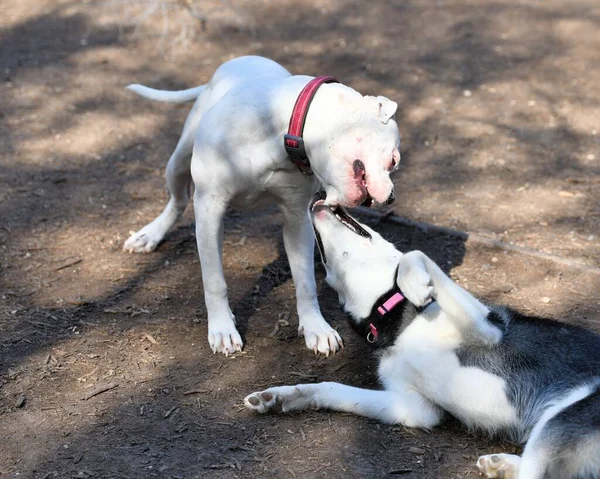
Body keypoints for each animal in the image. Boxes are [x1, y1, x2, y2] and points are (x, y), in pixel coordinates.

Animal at [122, 56, 400, 356]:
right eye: (394, 159)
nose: (391, 198)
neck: (281, 130)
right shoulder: (209, 208)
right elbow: (214, 279)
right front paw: (222, 329)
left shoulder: (297, 219)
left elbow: (305, 281)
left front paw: (316, 328)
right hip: (178, 162)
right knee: (178, 199)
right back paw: (150, 234)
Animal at [244, 196, 600, 479]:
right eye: (322, 258)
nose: (318, 196)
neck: (391, 315)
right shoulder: (415, 407)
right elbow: (331, 388)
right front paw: (283, 397)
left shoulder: (487, 329)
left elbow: (413, 254)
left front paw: (416, 285)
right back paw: (500, 465)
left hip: (559, 425)